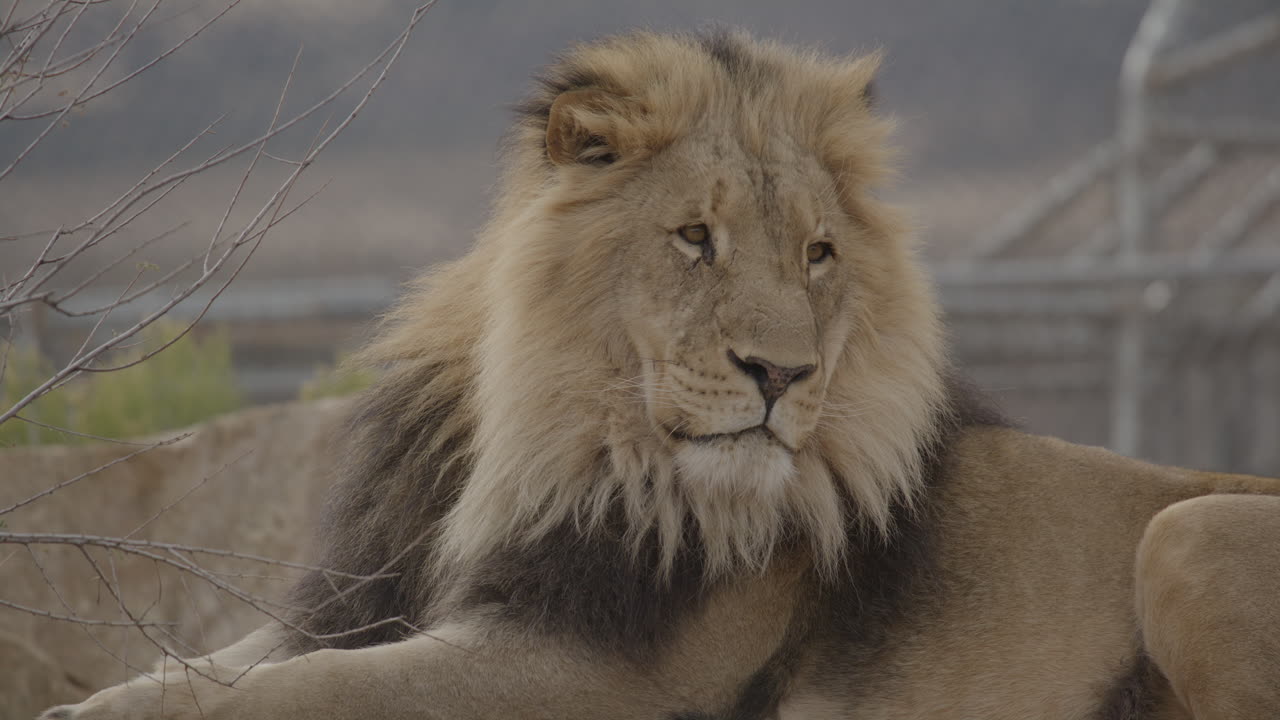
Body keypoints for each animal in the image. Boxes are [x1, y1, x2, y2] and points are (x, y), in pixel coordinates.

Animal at [42, 29, 1280, 720]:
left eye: (817, 254)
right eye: (694, 239)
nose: (781, 373)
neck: (538, 432)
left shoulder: (589, 672)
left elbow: (312, 692)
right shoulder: (369, 591)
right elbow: (211, 664)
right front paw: (102, 702)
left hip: (1182, 532)